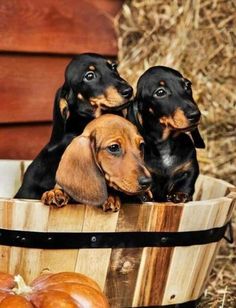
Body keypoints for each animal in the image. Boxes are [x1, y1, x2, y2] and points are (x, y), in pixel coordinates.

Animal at [127, 66, 205, 203]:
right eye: (160, 92)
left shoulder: (189, 168)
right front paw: (143, 194)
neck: (165, 145)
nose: (195, 115)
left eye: (187, 85)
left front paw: (180, 194)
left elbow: (186, 182)